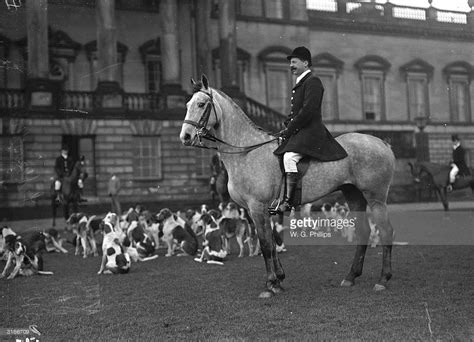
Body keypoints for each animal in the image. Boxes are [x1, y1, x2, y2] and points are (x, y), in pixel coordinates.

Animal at [180, 75, 394, 296]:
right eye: (187, 104)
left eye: (201, 104)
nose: (185, 136)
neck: (246, 151)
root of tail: (381, 143)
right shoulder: (256, 210)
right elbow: (271, 241)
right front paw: (279, 280)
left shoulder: (257, 207)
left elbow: (266, 244)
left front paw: (270, 284)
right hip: (353, 195)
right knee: (364, 231)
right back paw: (351, 276)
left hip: (376, 198)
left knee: (386, 231)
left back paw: (383, 279)